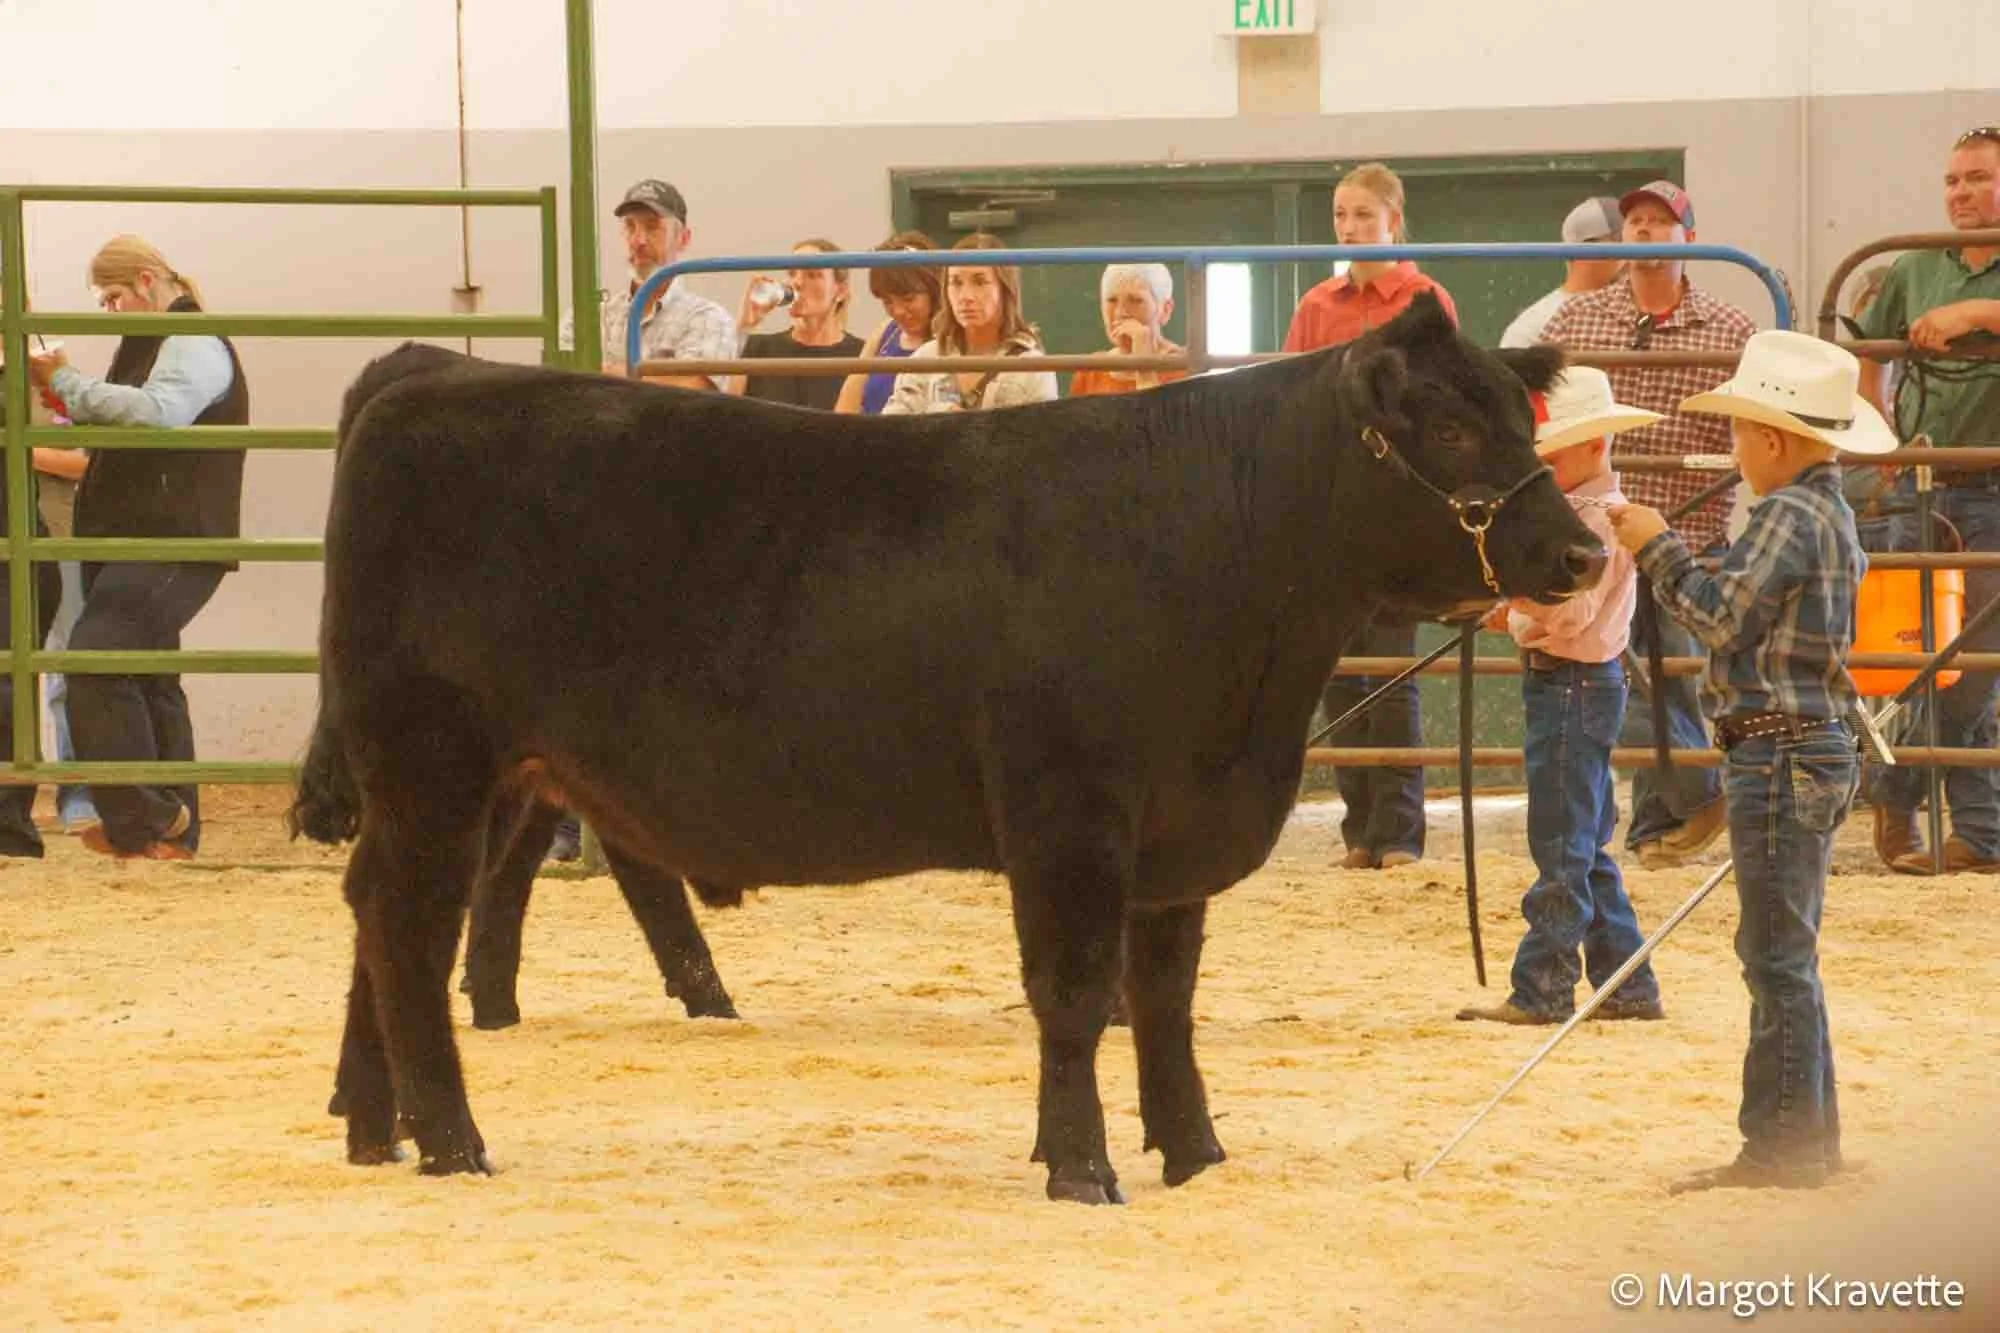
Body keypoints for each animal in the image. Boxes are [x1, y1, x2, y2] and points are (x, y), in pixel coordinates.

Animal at [291, 292, 1601, 1204]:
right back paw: (449, 1140)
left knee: (375, 912)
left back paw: (372, 1127)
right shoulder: (1068, 810)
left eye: (1519, 413)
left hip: (464, 776)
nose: (1580, 553)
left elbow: (1163, 998)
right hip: (433, 758)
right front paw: (1081, 1168)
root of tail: (430, 372)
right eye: (1447, 424)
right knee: (408, 926)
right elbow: (1074, 991)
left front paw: (1194, 1153)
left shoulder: (1177, 824)